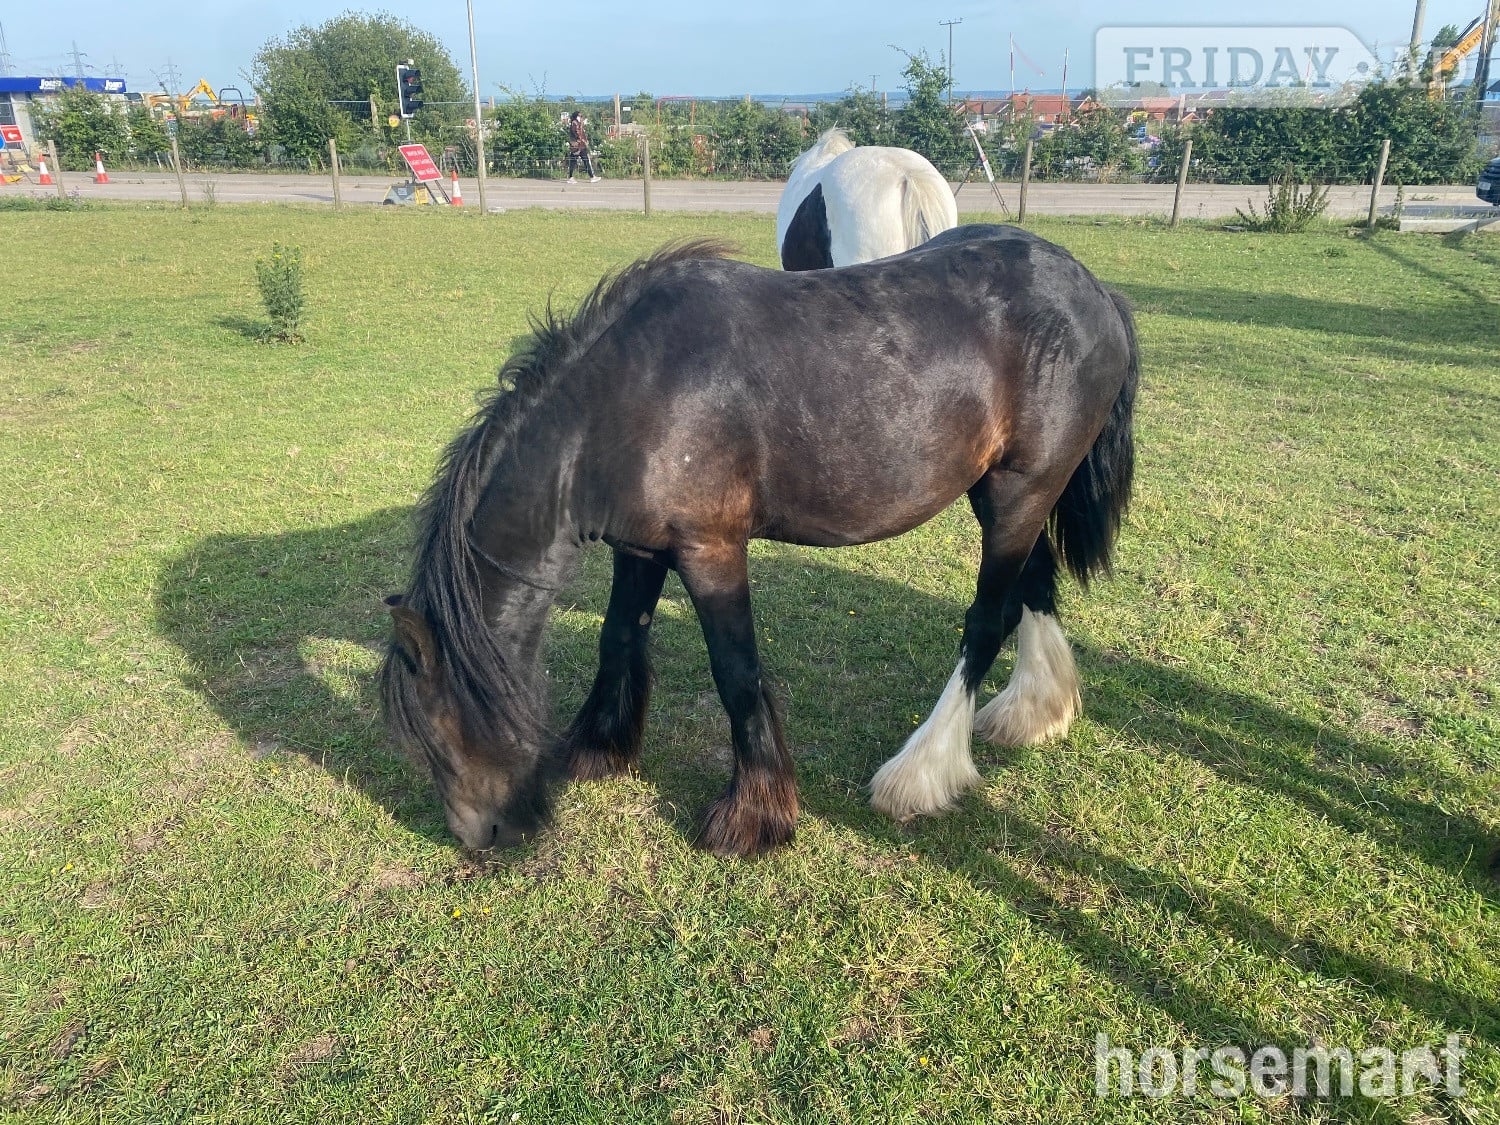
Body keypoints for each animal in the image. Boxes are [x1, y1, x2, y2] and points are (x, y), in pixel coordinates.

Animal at [380, 224, 1139, 858]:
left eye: (437, 739)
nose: (479, 837)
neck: (625, 399)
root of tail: (1093, 289)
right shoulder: (641, 548)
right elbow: (619, 635)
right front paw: (600, 748)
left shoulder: (711, 549)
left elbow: (736, 673)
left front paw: (754, 816)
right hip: (1004, 494)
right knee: (1034, 585)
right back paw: (1035, 712)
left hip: (1020, 492)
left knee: (985, 622)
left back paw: (921, 773)